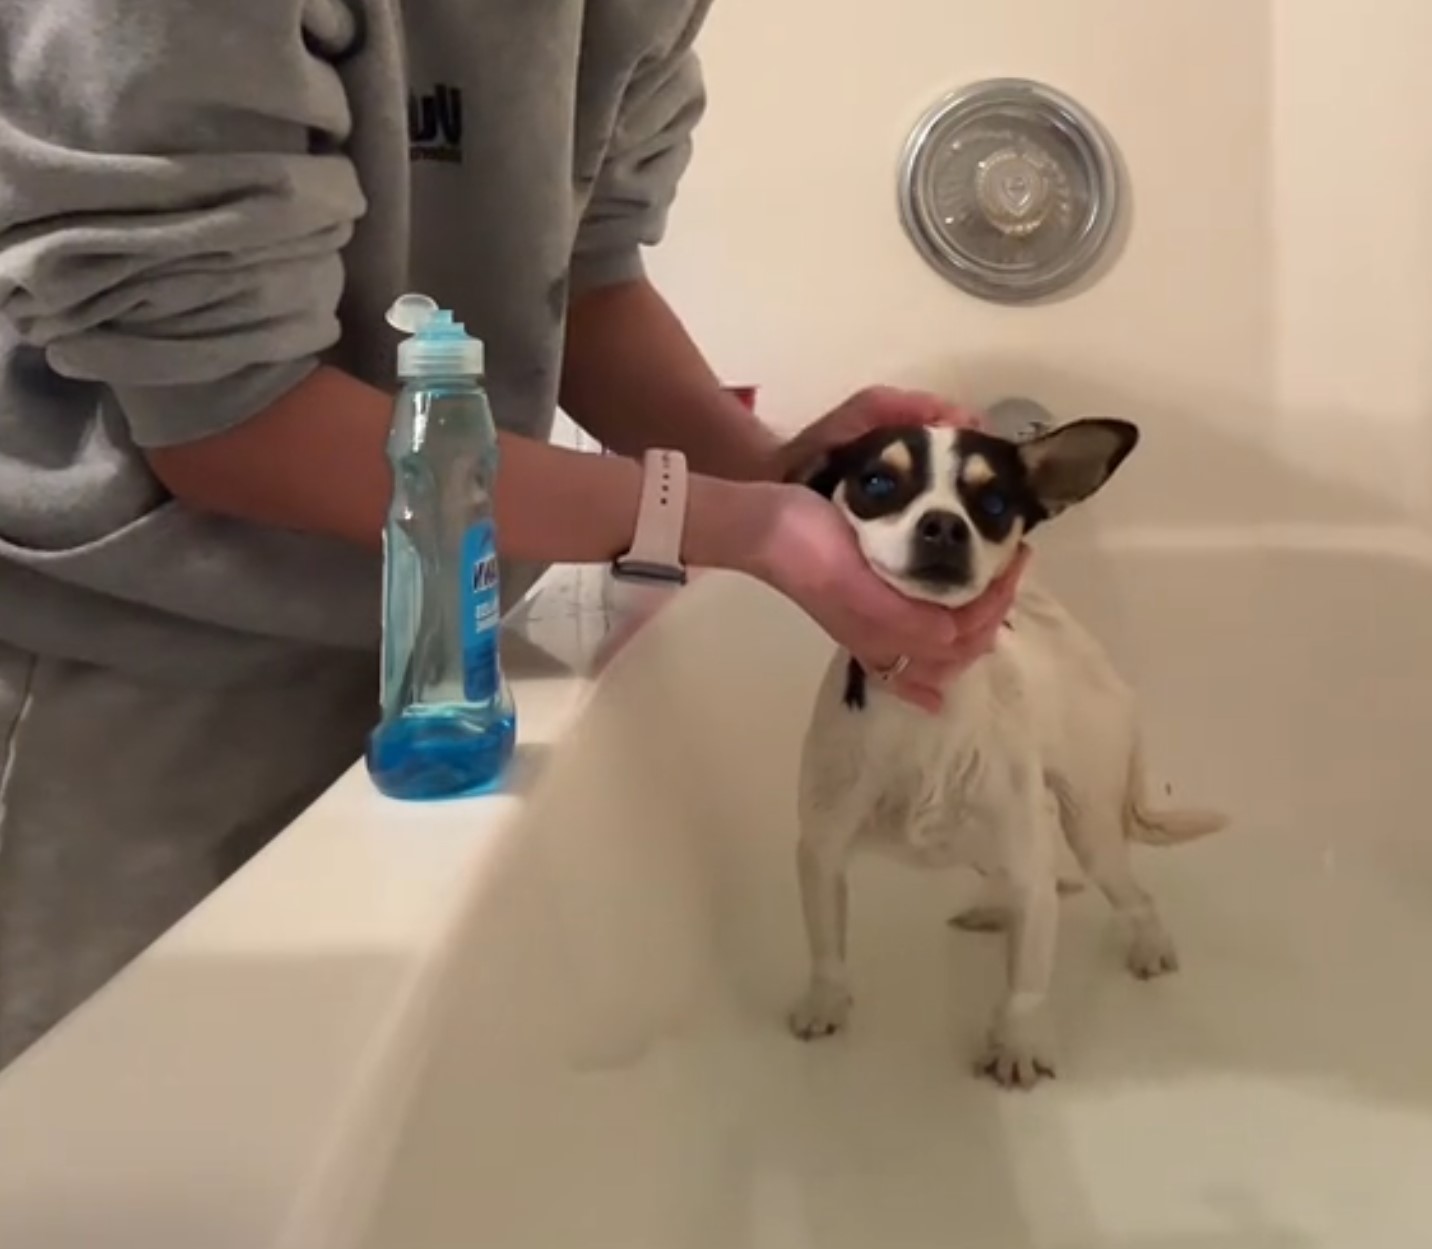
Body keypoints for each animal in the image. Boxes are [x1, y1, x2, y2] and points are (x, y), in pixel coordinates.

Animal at [790, 418, 1225, 1082]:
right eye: (879, 482)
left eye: (993, 504)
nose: (944, 525)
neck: (926, 711)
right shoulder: (821, 853)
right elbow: (826, 947)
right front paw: (826, 1003)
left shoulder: (1031, 873)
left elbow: (1026, 981)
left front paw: (1018, 1043)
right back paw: (994, 912)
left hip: (1091, 828)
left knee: (1131, 894)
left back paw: (1148, 945)